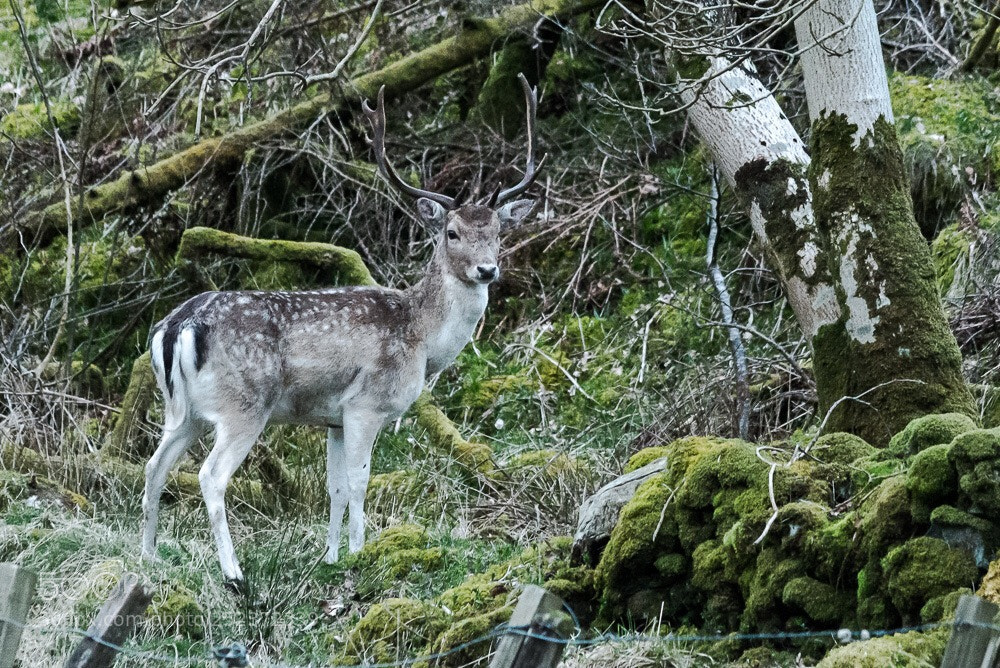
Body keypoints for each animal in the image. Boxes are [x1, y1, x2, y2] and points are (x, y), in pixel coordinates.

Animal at [140, 74, 544, 588]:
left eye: (496, 232)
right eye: (451, 232)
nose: (487, 269)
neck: (422, 338)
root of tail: (177, 327)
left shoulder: (332, 417)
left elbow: (332, 487)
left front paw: (330, 558)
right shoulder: (365, 405)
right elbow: (358, 481)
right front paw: (360, 552)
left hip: (183, 411)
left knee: (155, 466)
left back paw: (149, 556)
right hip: (243, 404)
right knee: (210, 476)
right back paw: (234, 572)